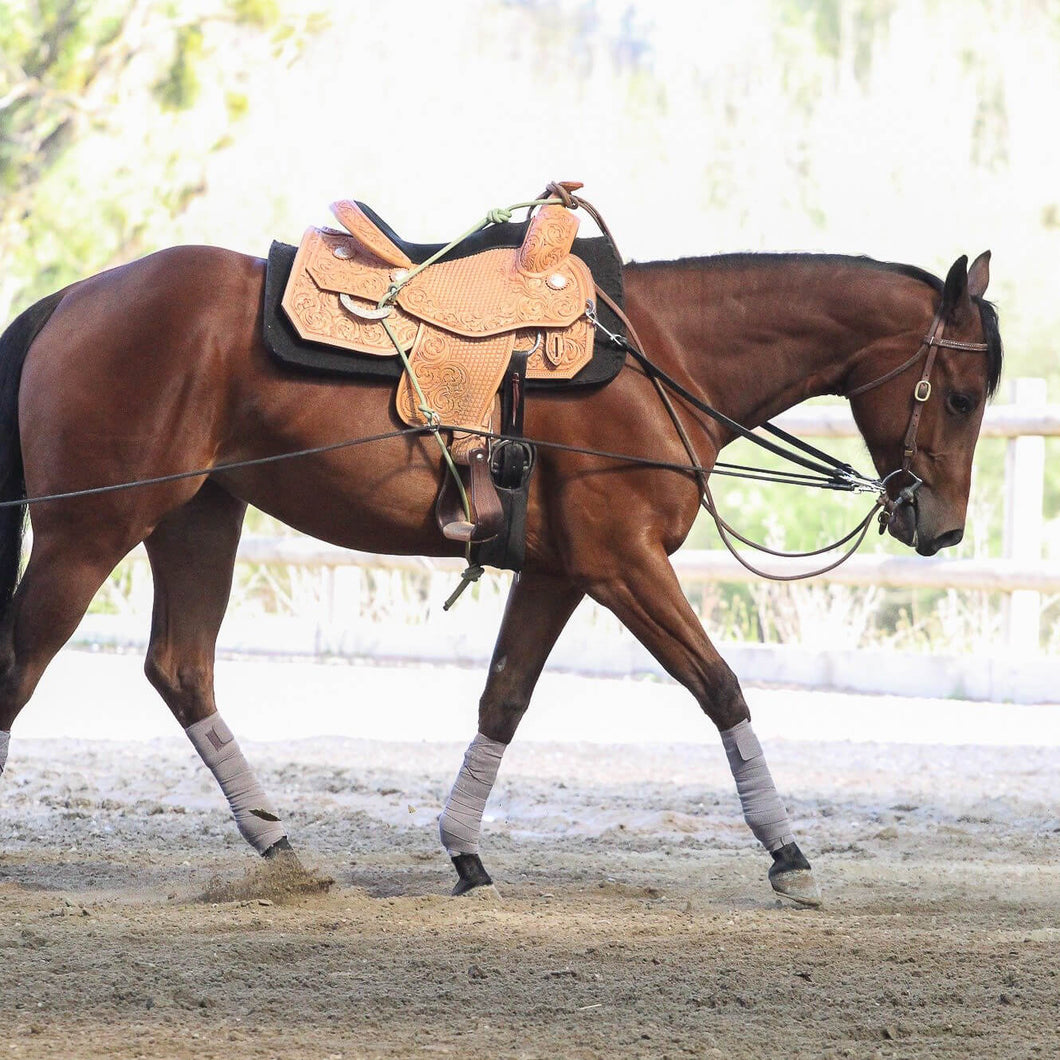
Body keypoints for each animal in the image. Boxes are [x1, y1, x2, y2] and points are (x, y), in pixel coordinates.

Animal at [0, 203, 1001, 907]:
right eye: (958, 396)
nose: (942, 527)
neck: (661, 360)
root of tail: (72, 298)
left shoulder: (559, 575)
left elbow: (504, 700)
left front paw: (465, 850)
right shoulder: (624, 566)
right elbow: (720, 688)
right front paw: (788, 853)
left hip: (199, 518)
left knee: (182, 669)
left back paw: (281, 848)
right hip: (89, 531)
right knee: (23, 665)